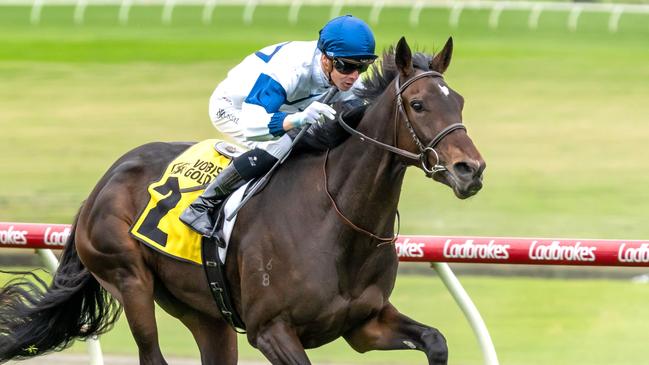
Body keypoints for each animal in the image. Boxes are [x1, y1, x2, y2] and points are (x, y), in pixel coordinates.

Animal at [0, 37, 484, 364]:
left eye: (459, 101)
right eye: (418, 104)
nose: (471, 170)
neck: (337, 220)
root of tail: (101, 184)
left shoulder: (365, 324)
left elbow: (436, 341)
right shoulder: (271, 330)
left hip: (204, 311)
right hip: (129, 278)